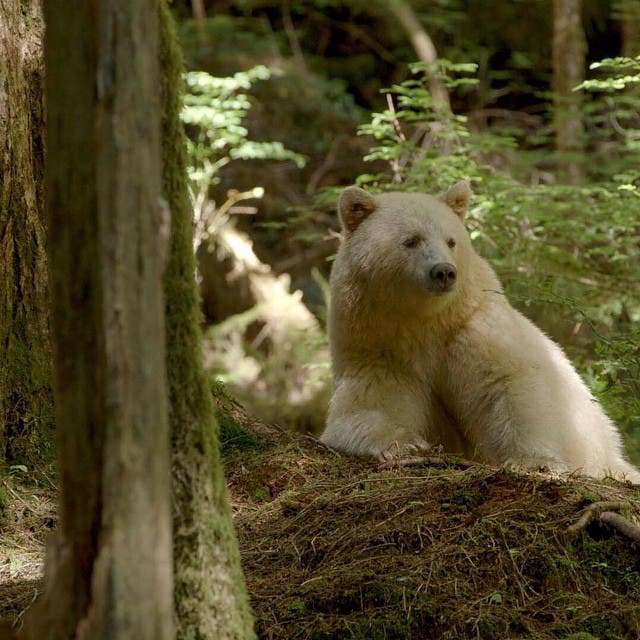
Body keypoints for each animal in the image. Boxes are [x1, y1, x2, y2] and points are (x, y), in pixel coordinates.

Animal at [320, 181, 640, 483]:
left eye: (451, 241)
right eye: (411, 240)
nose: (444, 272)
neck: (425, 322)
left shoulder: (473, 327)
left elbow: (512, 382)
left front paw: (533, 461)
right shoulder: (379, 347)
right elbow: (368, 405)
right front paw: (406, 443)